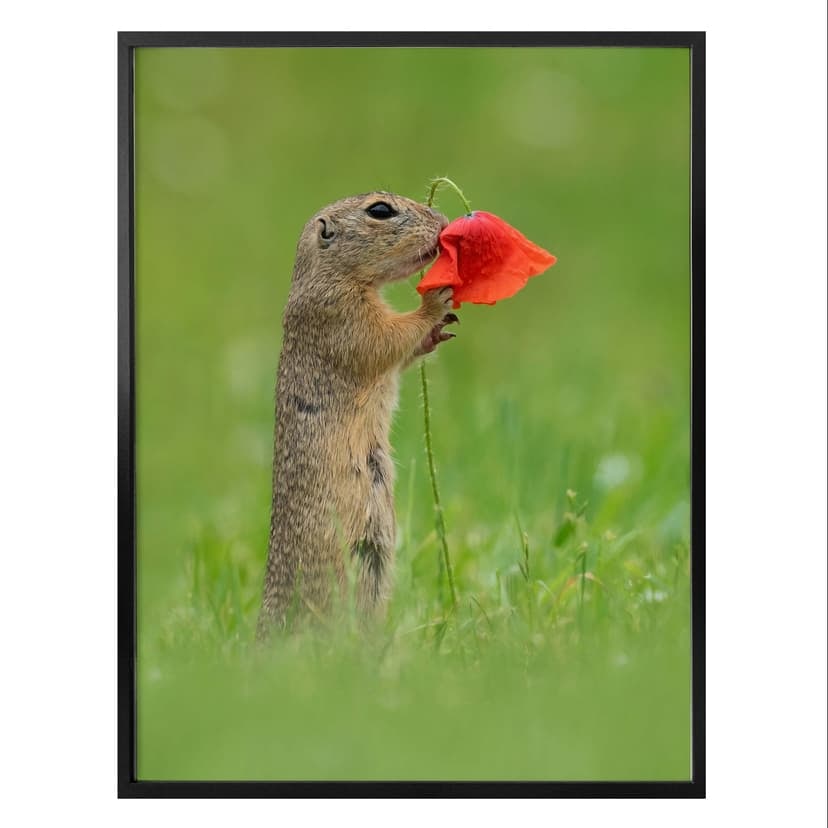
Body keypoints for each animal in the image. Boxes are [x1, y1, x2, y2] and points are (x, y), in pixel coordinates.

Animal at [256, 192, 458, 638]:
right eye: (380, 210)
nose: (443, 221)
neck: (330, 275)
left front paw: (438, 331)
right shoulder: (341, 315)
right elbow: (386, 339)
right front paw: (436, 300)